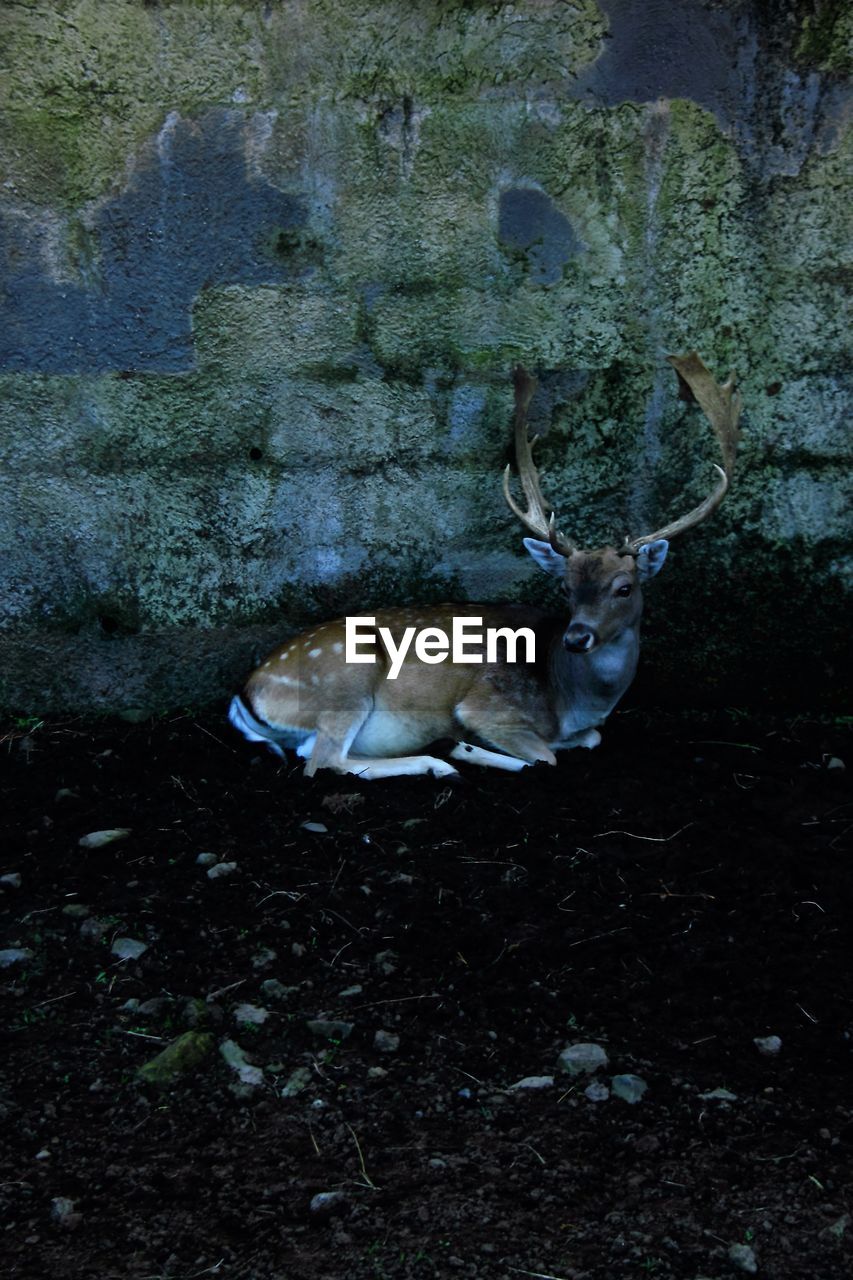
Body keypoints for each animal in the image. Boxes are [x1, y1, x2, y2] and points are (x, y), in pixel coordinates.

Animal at [230, 348, 737, 778]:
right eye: (566, 588)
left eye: (624, 587)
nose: (577, 637)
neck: (569, 699)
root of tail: (245, 694)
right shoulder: (485, 705)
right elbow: (546, 755)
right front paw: (464, 746)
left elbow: (590, 739)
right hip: (345, 683)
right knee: (323, 761)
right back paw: (437, 762)